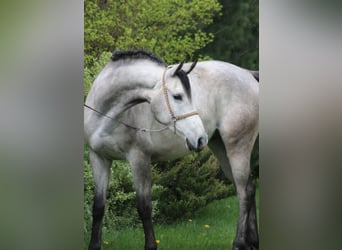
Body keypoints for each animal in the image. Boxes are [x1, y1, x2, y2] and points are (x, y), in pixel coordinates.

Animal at [84, 49, 258, 249]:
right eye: (177, 96)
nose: (200, 138)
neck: (106, 115)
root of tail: (247, 74)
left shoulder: (139, 159)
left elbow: (144, 207)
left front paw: (151, 245)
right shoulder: (98, 158)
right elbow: (98, 207)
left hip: (237, 148)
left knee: (244, 193)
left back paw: (239, 243)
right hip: (221, 149)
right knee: (248, 188)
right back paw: (252, 242)